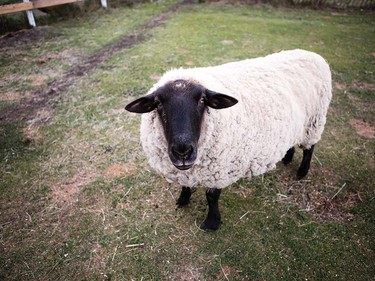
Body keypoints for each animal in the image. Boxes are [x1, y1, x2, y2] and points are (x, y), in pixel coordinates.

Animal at [125, 49, 332, 231]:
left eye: (202, 100)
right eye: (158, 103)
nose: (182, 150)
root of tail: (311, 54)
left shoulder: (221, 168)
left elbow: (212, 197)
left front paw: (211, 223)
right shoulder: (185, 169)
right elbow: (185, 184)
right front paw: (183, 200)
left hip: (314, 121)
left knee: (310, 148)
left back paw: (302, 172)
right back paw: (287, 158)